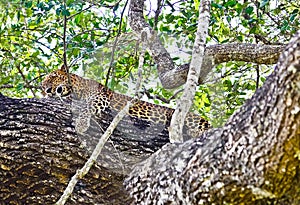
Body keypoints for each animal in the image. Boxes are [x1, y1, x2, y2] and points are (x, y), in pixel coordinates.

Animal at [41, 66, 211, 140]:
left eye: (53, 77)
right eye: (42, 86)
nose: (47, 90)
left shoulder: (100, 97)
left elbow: (86, 107)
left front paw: (81, 124)